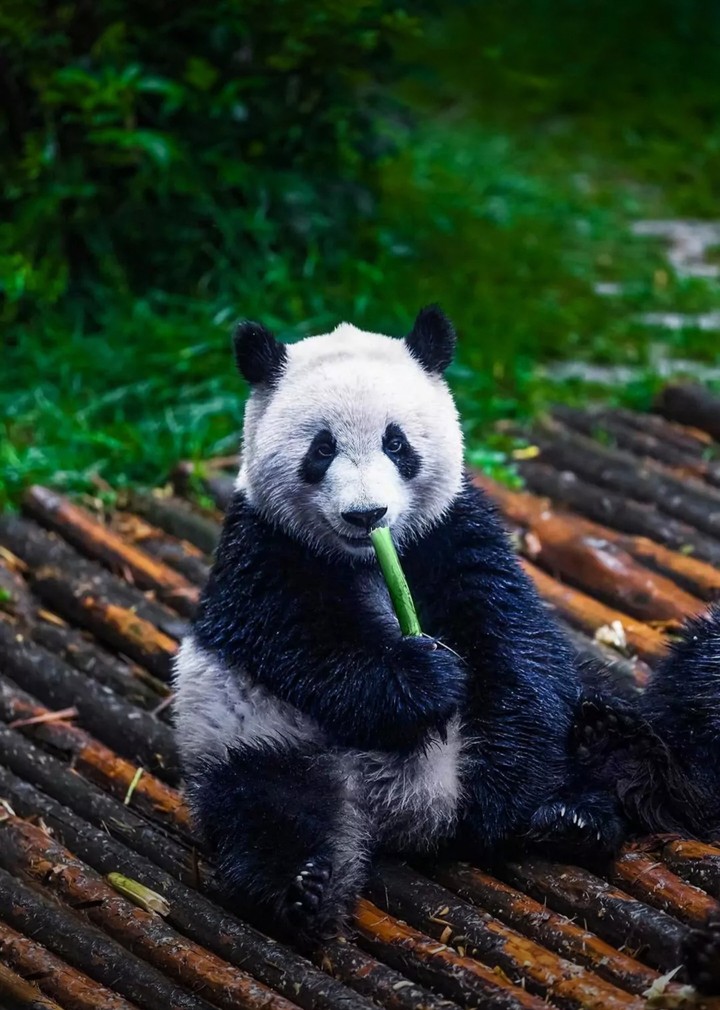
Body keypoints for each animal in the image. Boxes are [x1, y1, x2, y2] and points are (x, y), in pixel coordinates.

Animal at [173, 306, 720, 987]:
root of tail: (411, 812)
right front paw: (424, 678)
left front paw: (506, 796)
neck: (369, 560)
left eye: (396, 443)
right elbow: (298, 643)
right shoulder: (261, 550)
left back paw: (584, 803)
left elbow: (508, 635)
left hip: (574, 697)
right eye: (321, 449)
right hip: (263, 740)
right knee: (268, 810)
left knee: (593, 711)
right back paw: (303, 889)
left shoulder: (454, 527)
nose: (367, 514)